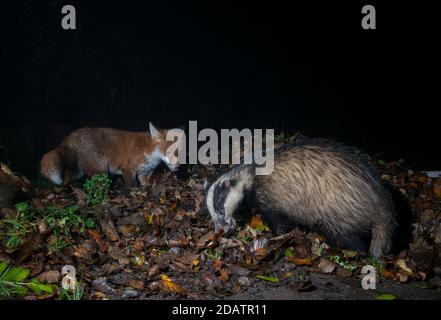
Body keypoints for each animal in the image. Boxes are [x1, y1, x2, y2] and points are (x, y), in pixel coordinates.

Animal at [39, 122, 180, 188]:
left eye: (178, 153)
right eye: (167, 152)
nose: (178, 167)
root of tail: (70, 136)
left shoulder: (143, 174)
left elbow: (145, 186)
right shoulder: (127, 170)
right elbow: (131, 187)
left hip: (78, 172)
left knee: (66, 181)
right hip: (101, 171)